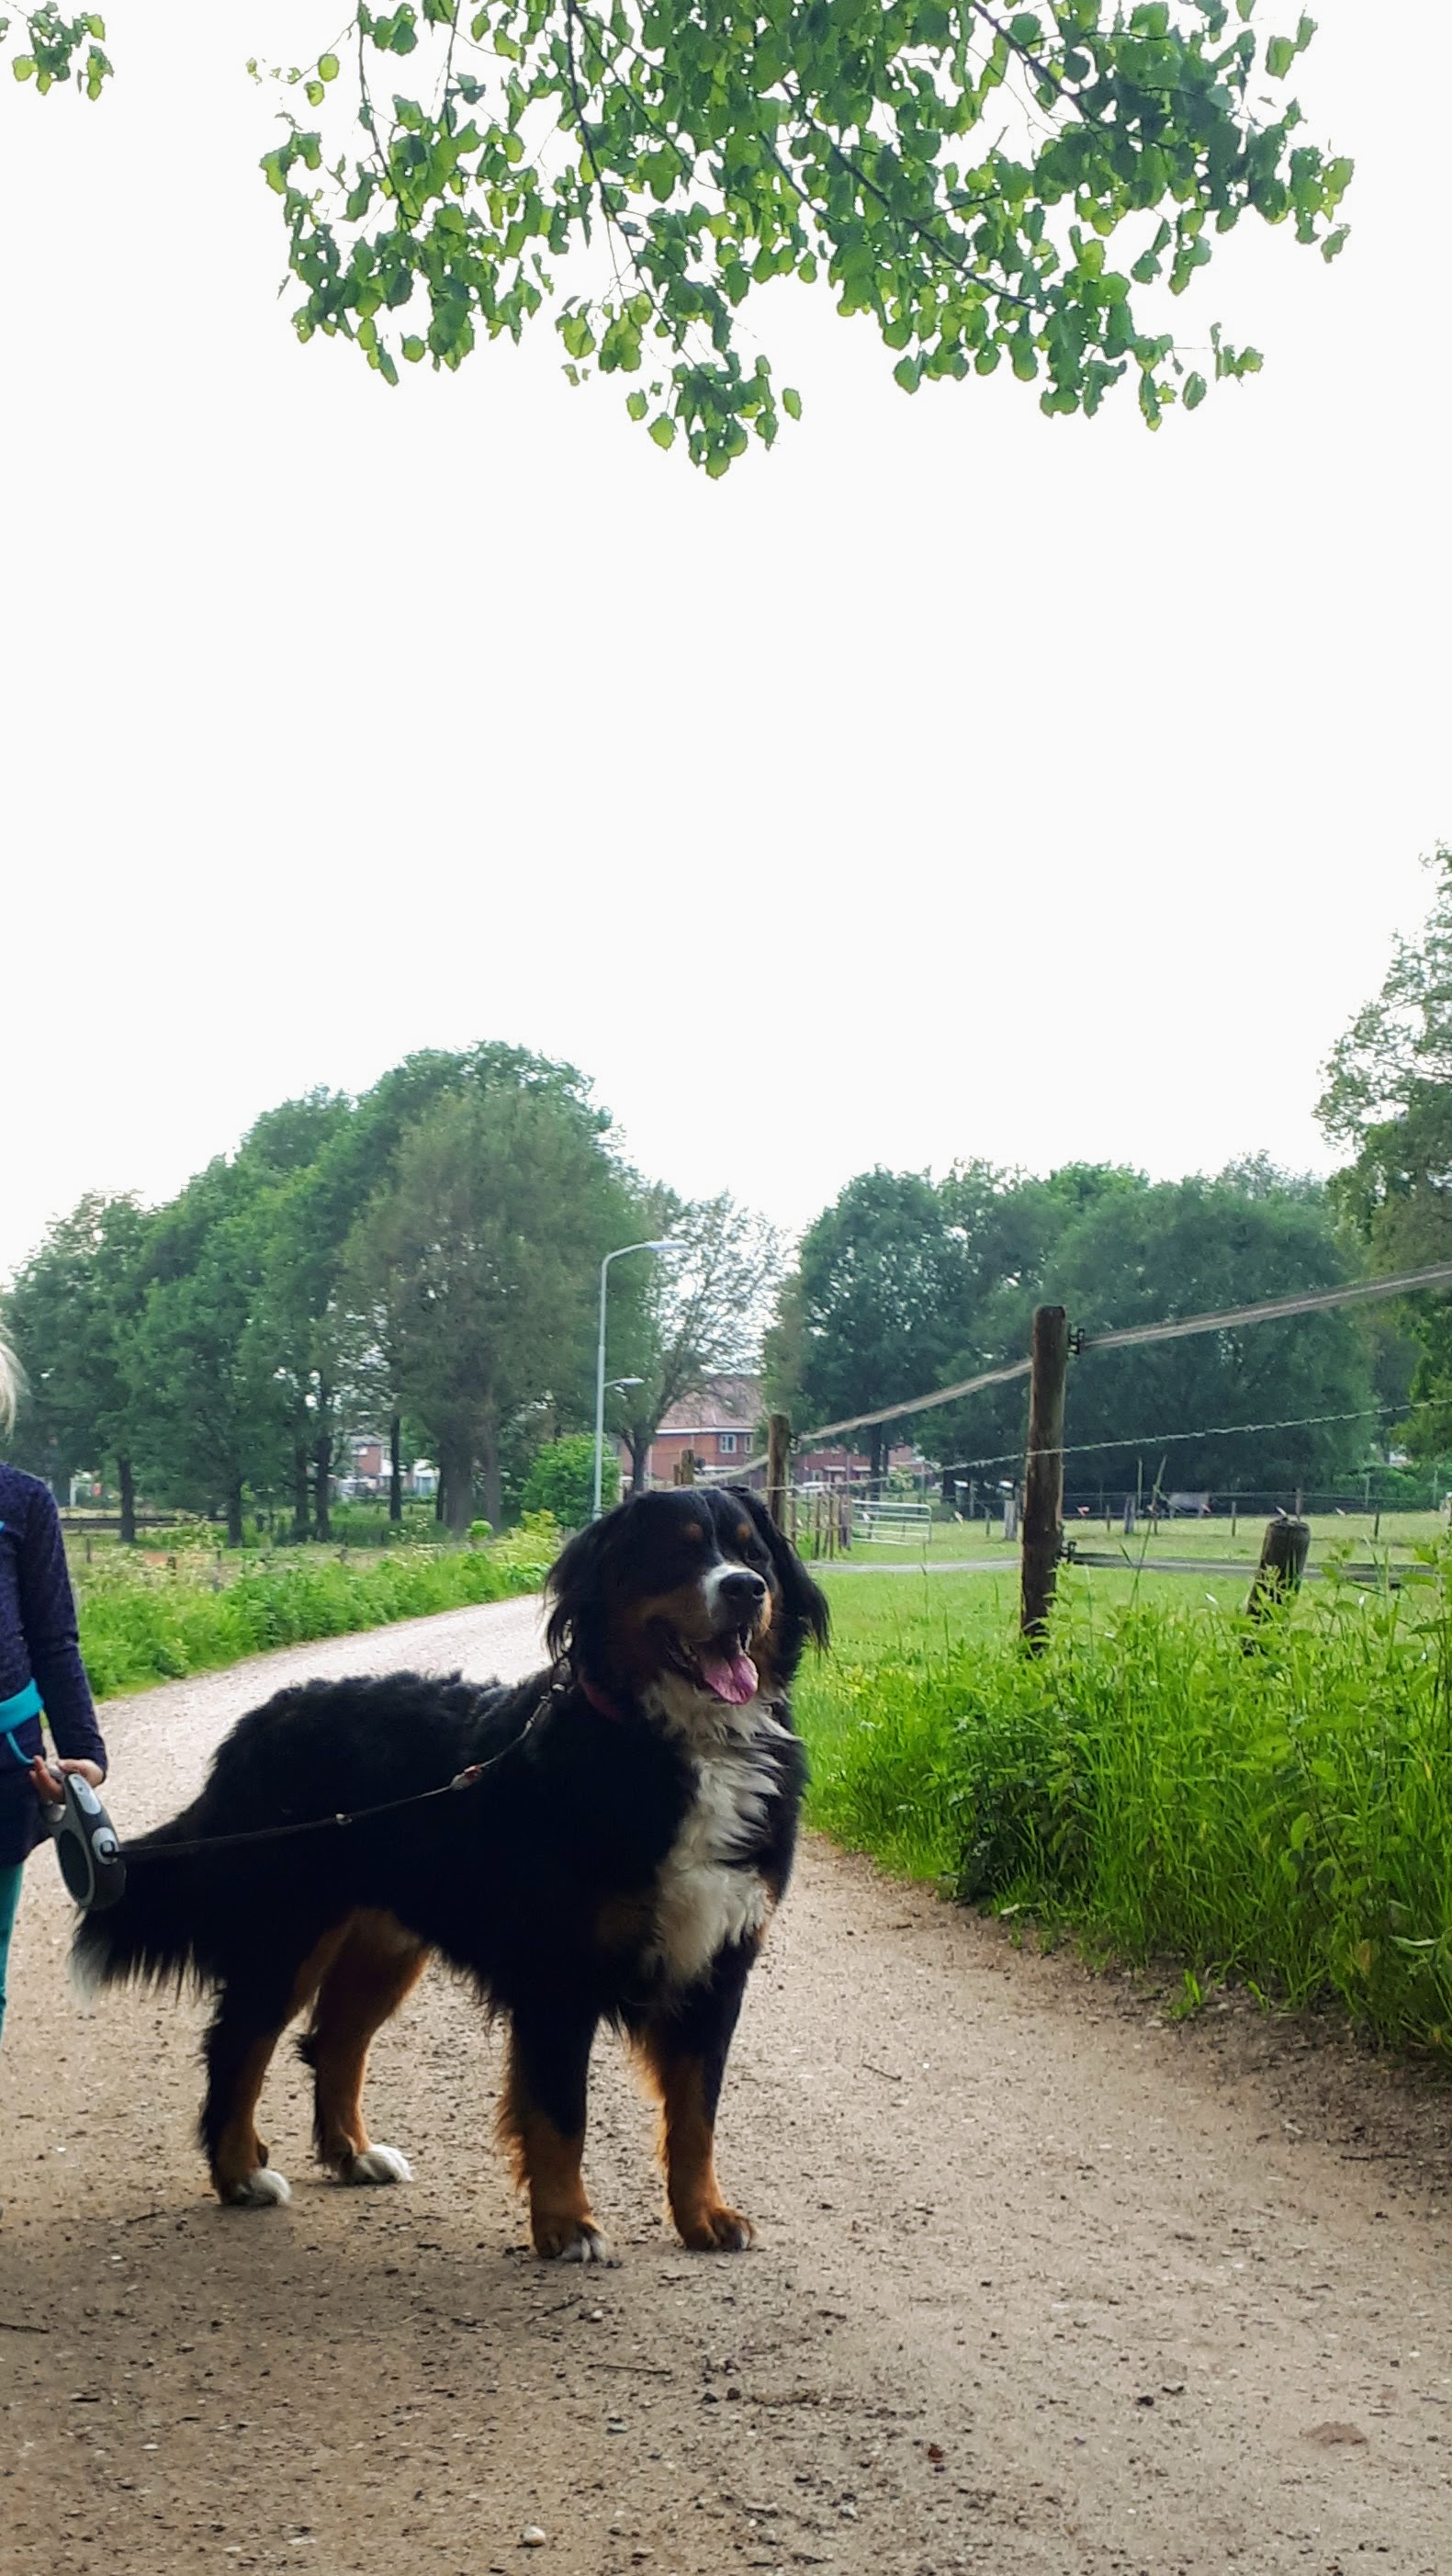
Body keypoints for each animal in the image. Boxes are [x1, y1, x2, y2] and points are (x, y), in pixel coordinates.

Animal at [74, 1486, 828, 2261]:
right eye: (678, 1551)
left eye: (753, 1553)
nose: (744, 1589)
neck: (675, 1743)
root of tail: (261, 1720)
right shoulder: (558, 1973)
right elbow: (560, 2113)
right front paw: (567, 2226)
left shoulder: (718, 1964)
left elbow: (696, 2114)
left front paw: (704, 2214)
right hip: (286, 1936)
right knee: (238, 2046)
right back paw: (239, 2175)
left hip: (383, 1945)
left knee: (334, 2043)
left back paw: (353, 2154)